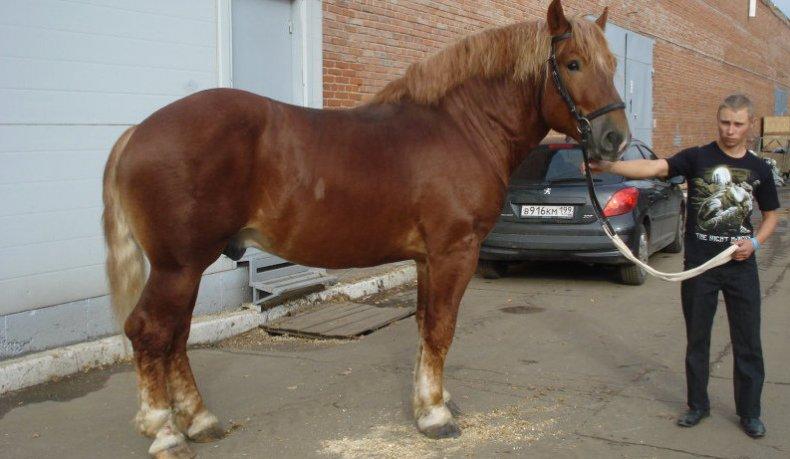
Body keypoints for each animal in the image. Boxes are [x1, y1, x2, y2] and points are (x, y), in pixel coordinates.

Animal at [102, 1, 628, 458]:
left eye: (613, 64)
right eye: (573, 63)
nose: (615, 139)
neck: (461, 127)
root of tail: (138, 133)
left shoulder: (426, 258)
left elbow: (424, 324)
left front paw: (429, 401)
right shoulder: (454, 251)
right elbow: (442, 327)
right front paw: (435, 416)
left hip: (186, 268)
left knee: (175, 335)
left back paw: (200, 421)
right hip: (179, 265)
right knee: (150, 332)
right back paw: (165, 433)